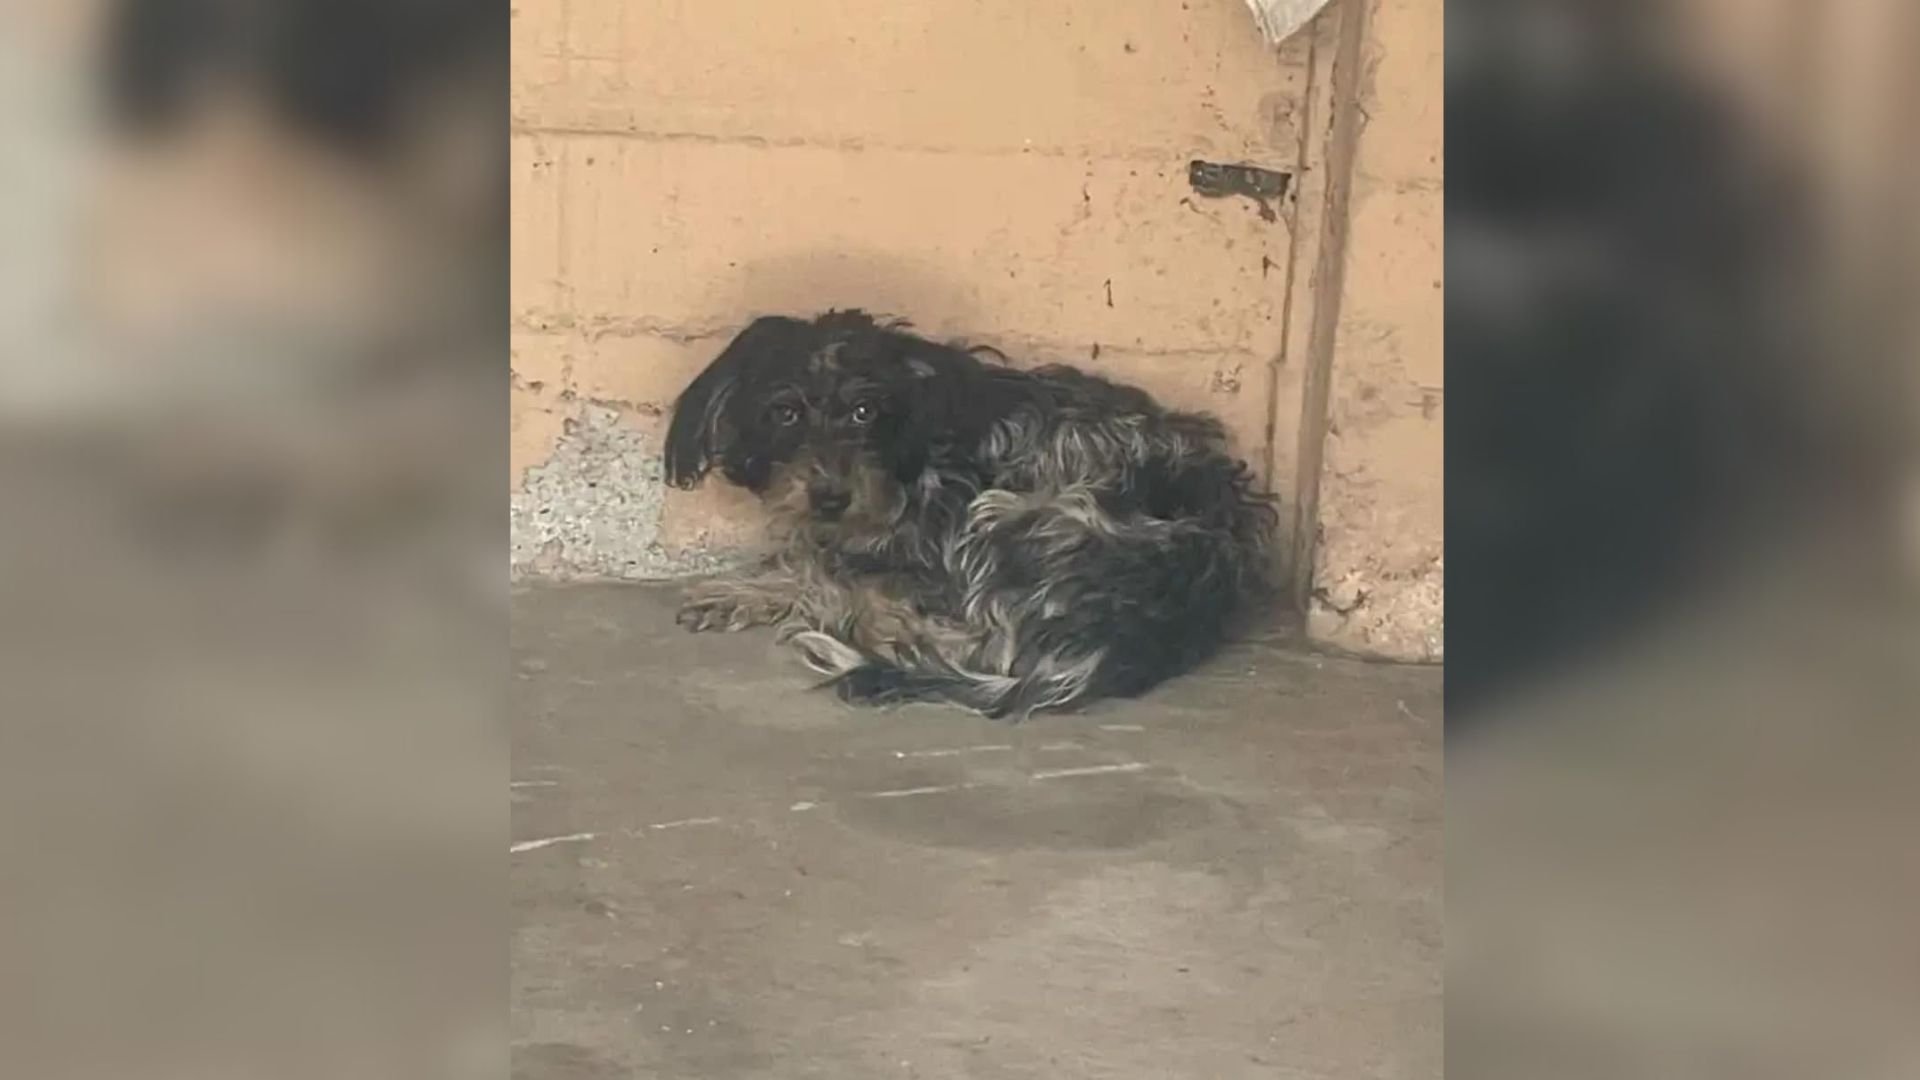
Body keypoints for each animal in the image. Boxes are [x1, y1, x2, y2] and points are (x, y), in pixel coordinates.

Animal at [660, 309, 1274, 714]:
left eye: (865, 411)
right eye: (784, 413)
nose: (831, 497)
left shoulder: (934, 552)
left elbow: (833, 571)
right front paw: (743, 589)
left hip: (1010, 514)